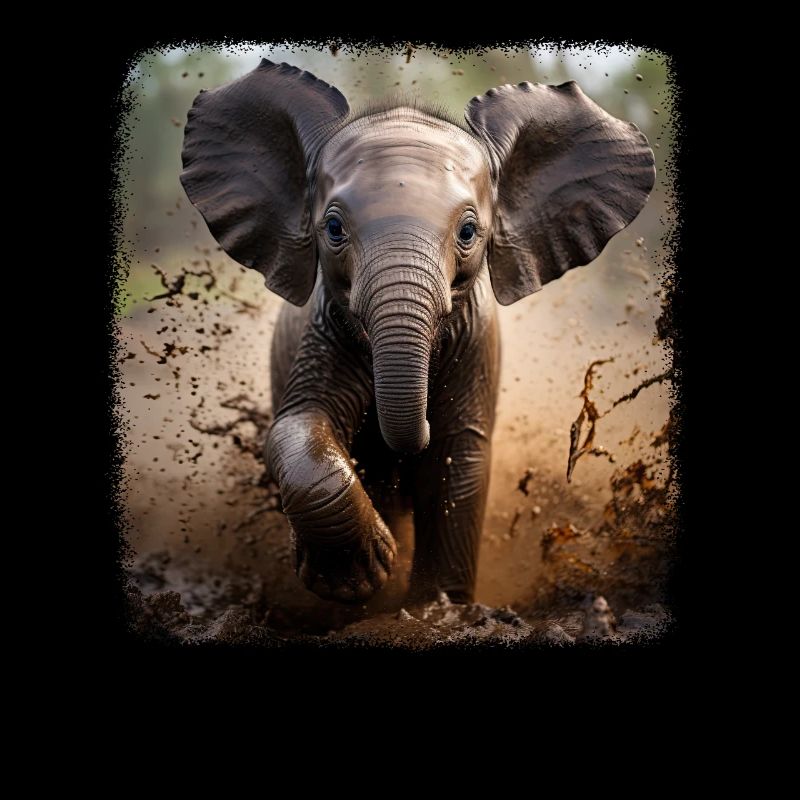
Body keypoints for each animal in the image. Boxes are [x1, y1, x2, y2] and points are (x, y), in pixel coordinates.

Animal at [180, 59, 655, 606]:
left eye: (468, 233)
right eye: (334, 229)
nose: (418, 420)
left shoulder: (475, 340)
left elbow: (458, 457)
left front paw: (435, 608)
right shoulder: (325, 327)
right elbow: (298, 425)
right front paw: (360, 579)